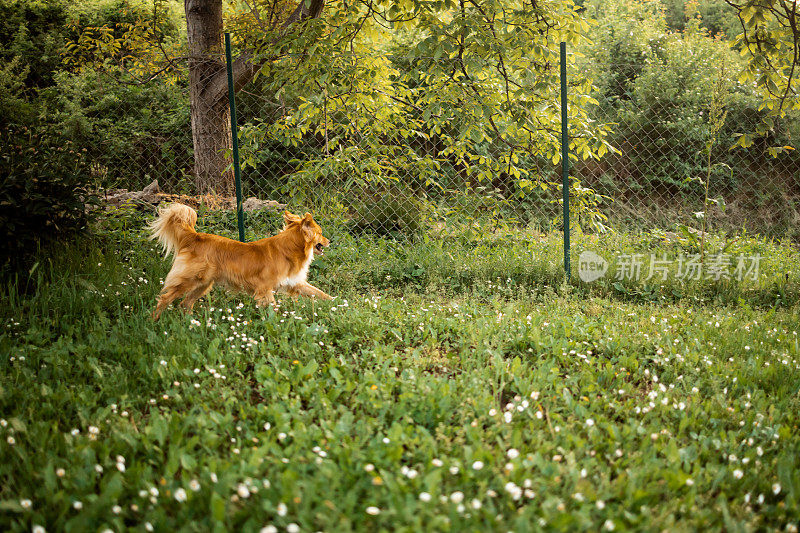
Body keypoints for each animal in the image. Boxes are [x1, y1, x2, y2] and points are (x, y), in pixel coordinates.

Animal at [148, 204, 332, 320]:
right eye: (321, 233)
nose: (330, 241)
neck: (291, 248)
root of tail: (195, 237)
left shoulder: (295, 283)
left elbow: (320, 293)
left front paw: (336, 302)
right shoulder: (264, 290)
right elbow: (273, 308)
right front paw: (277, 321)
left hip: (203, 284)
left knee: (185, 304)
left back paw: (192, 325)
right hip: (189, 281)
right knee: (165, 299)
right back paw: (154, 321)